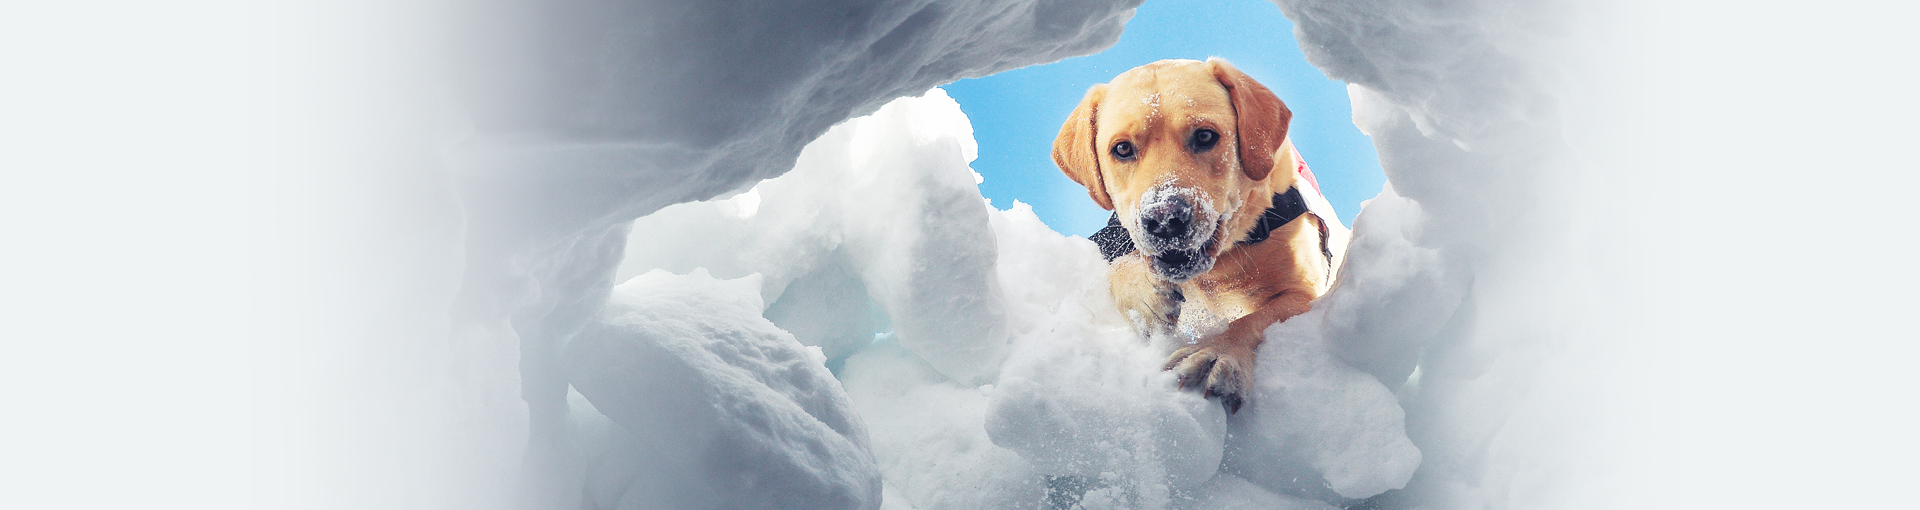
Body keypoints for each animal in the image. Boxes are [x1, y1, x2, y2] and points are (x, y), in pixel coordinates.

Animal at [1059, 58, 1344, 414]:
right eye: (1122, 148)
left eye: (1205, 135)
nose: (1165, 219)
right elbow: (1119, 262)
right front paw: (1143, 295)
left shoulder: (1305, 293)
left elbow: (1253, 320)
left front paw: (1218, 352)